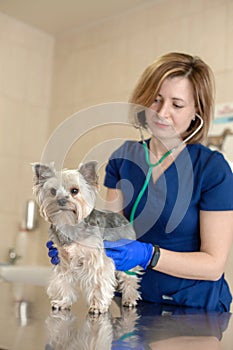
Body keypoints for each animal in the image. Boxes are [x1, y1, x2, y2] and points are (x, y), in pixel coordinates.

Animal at [32, 161, 141, 314]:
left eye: (74, 191)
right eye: (53, 191)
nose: (61, 200)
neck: (69, 224)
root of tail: (121, 217)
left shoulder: (97, 260)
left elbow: (99, 282)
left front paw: (98, 306)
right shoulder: (62, 260)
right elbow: (63, 280)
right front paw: (63, 301)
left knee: (130, 279)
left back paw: (129, 299)